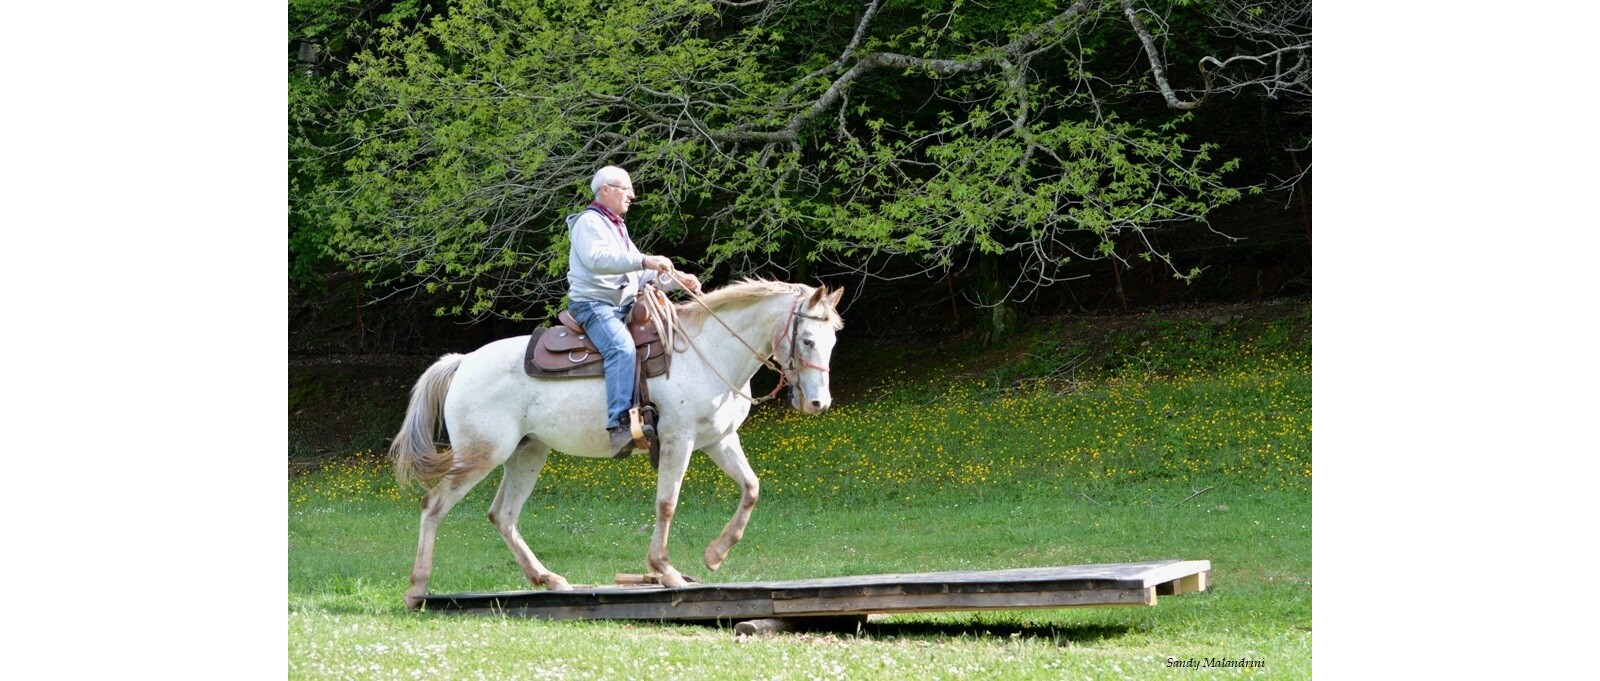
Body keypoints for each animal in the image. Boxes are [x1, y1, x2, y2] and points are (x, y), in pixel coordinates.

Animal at [387, 279, 844, 610]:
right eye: (807, 340)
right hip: (481, 454)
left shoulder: (719, 440)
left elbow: (751, 488)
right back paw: (417, 588)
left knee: (503, 515)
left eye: (832, 341)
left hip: (528, 452)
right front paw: (666, 570)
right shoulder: (679, 441)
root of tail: (463, 362)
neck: (709, 353)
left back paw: (548, 579)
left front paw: (715, 554)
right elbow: (667, 504)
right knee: (434, 505)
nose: (819, 402)